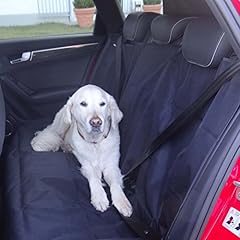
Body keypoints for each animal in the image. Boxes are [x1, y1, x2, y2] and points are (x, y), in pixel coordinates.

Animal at [30, 85, 132, 218]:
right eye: (83, 104)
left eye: (102, 104)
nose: (96, 122)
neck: (95, 143)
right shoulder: (87, 166)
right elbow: (94, 178)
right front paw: (99, 197)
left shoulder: (112, 166)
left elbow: (115, 183)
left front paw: (122, 202)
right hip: (61, 125)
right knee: (51, 133)